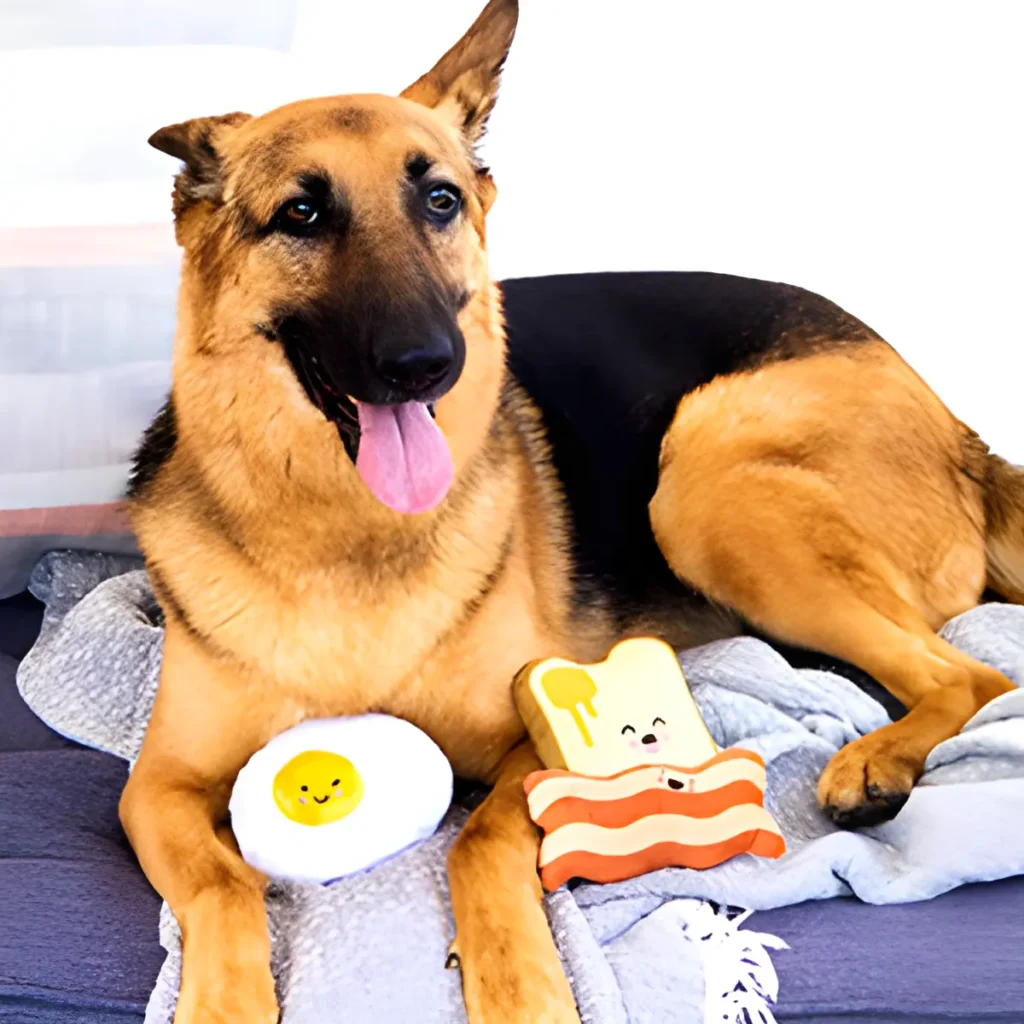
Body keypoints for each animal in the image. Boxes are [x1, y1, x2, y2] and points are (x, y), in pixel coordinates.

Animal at [121, 4, 1024, 1019]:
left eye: (440, 202)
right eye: (301, 214)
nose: (427, 365)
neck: (346, 533)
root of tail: (964, 433)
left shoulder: (536, 746)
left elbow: (479, 840)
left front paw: (520, 982)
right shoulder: (156, 790)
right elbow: (221, 883)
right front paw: (222, 999)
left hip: (703, 481)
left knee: (974, 679)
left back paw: (878, 760)